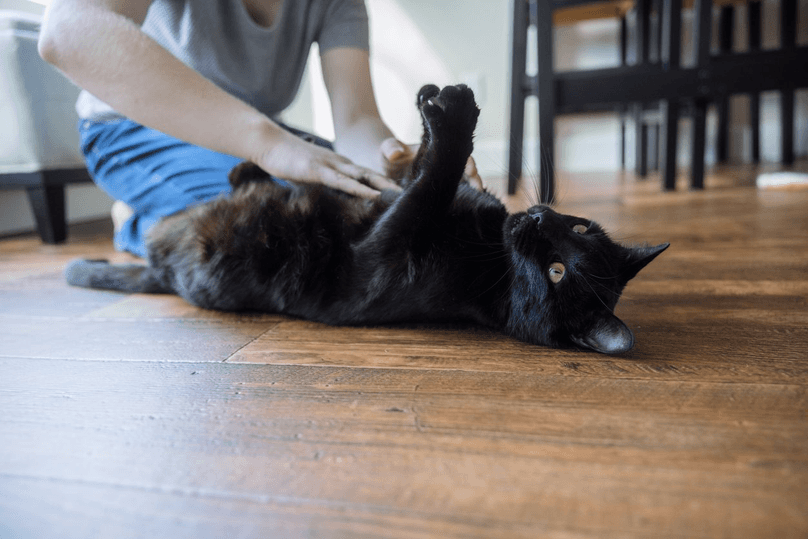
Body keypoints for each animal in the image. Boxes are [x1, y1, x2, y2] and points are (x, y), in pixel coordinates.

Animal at [64, 83, 668, 354]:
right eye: (580, 227)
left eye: (557, 273)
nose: (540, 219)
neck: (490, 247)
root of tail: (158, 269)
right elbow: (420, 171)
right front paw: (429, 107)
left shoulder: (384, 254)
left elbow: (430, 182)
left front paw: (454, 115)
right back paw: (259, 164)